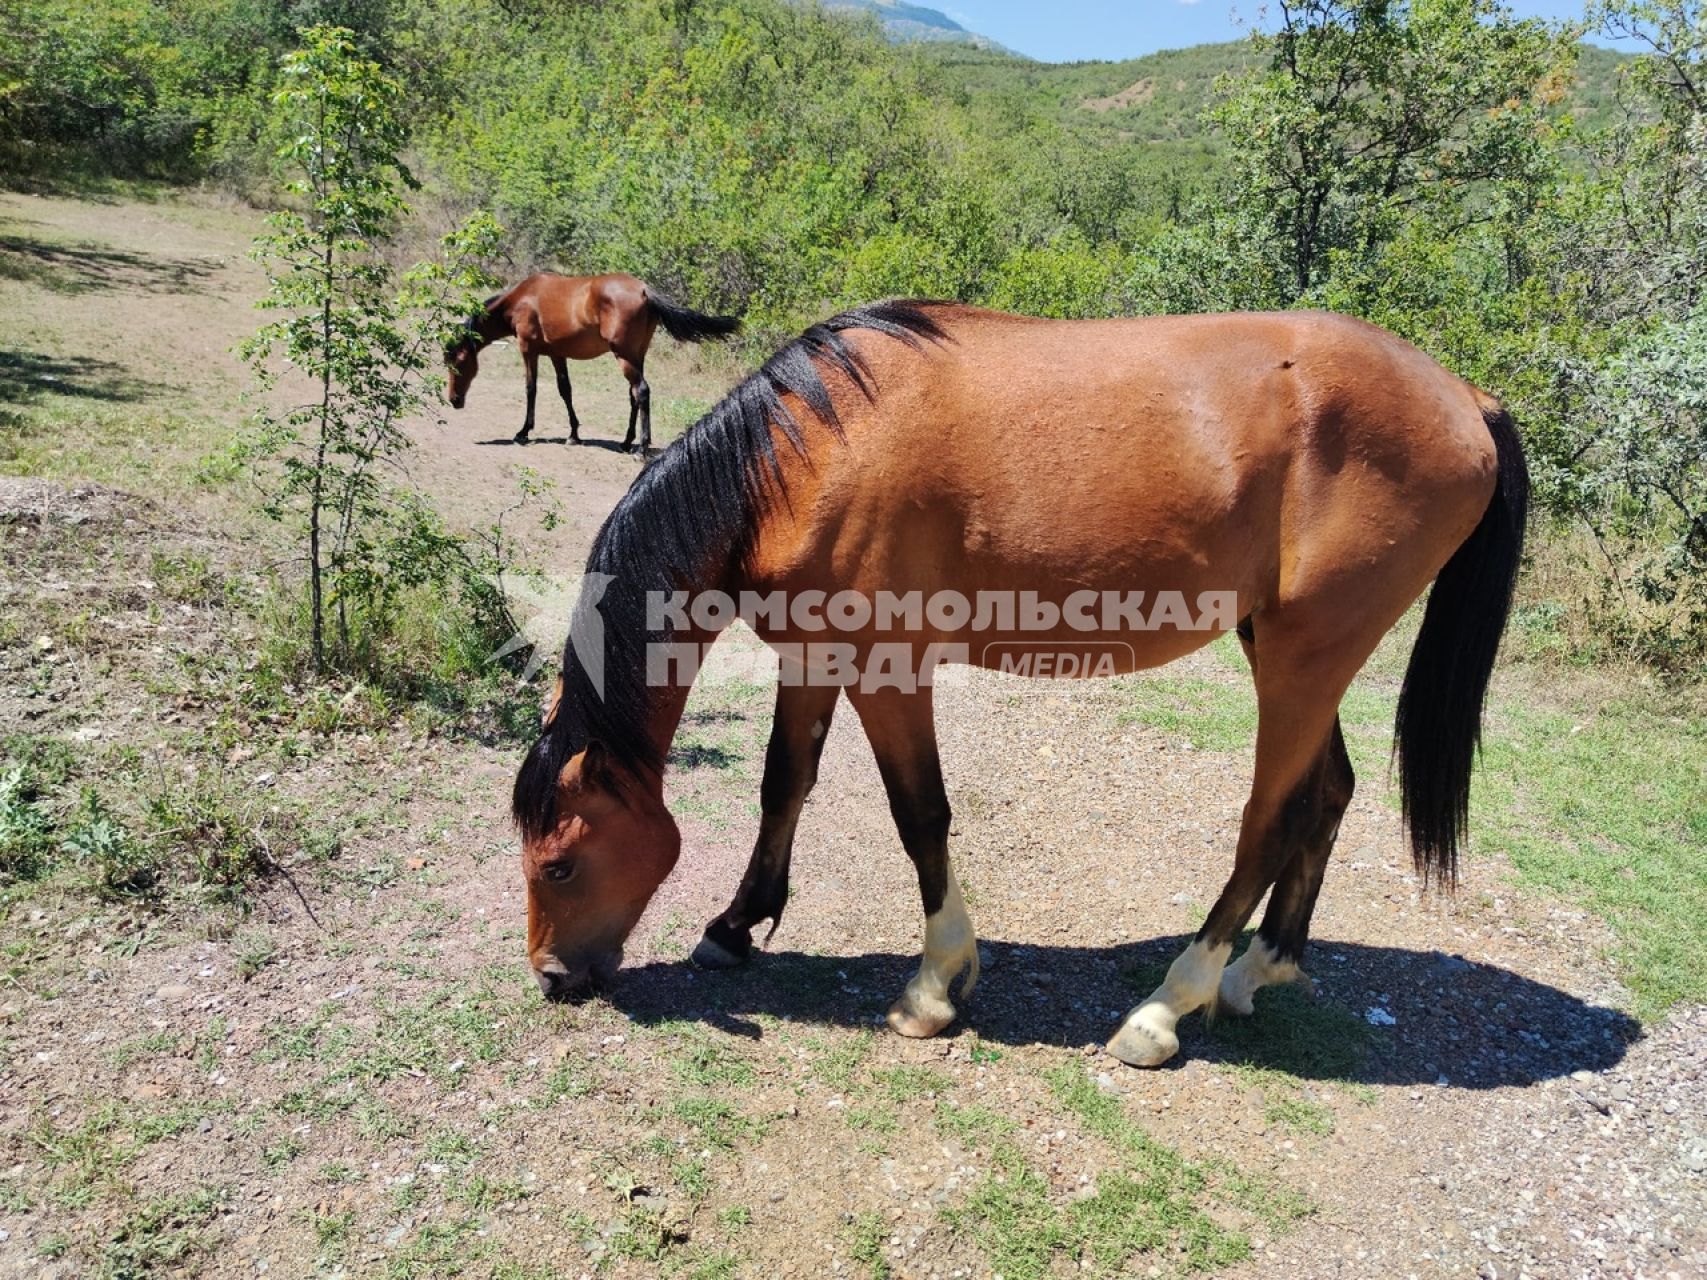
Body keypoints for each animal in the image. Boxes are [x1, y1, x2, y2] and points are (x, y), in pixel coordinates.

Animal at [443, 273, 737, 453]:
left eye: (459, 360)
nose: (454, 400)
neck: (522, 299)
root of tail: (643, 291)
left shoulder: (528, 350)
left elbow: (531, 389)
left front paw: (523, 432)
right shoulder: (557, 354)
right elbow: (565, 390)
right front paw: (573, 434)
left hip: (624, 356)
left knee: (641, 391)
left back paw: (641, 448)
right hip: (636, 355)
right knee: (634, 394)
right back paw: (626, 442)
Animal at [508, 300, 1536, 1071]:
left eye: (559, 863)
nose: (552, 977)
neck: (803, 456)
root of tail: (1466, 399)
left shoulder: (887, 669)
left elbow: (919, 815)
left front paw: (934, 986)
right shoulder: (814, 656)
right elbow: (783, 782)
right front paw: (734, 925)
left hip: (1303, 655)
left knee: (1269, 822)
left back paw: (1168, 1006)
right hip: (1283, 648)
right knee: (1327, 795)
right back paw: (1260, 971)